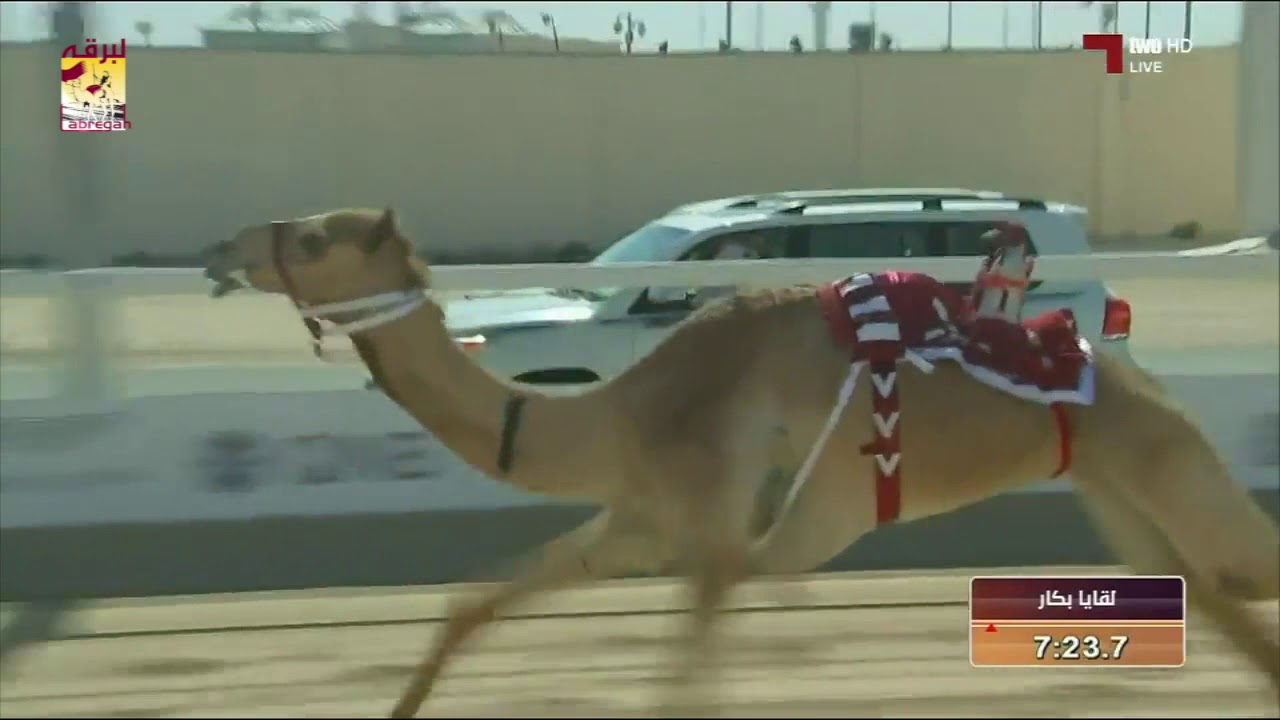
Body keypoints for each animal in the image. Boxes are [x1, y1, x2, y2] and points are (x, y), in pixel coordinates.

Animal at [201, 207, 1280, 717]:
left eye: (313, 238)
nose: (222, 250)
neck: (618, 415)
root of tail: (1116, 360)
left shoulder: (716, 544)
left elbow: (678, 693)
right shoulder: (639, 526)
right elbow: (476, 599)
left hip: (1162, 461)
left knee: (1245, 569)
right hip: (1123, 495)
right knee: (1215, 597)